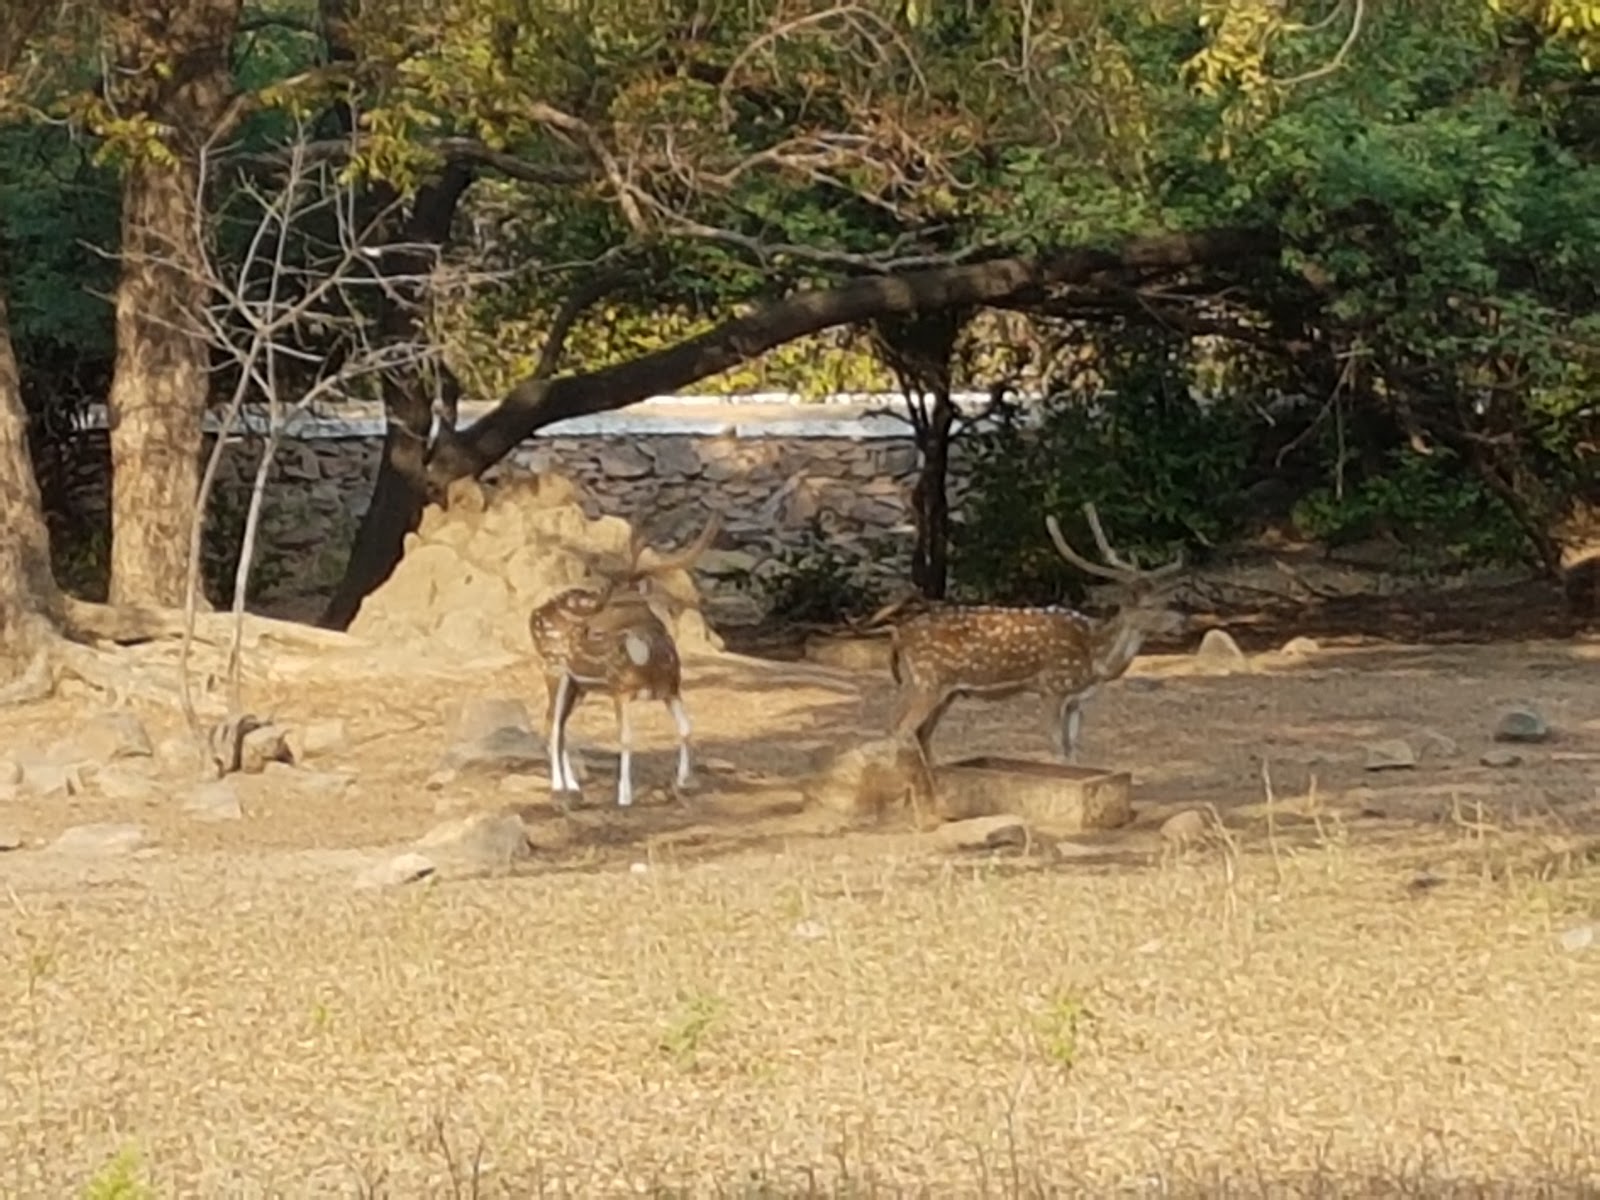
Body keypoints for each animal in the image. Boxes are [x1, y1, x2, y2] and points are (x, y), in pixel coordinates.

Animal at [528, 511, 722, 808]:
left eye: (616, 601)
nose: (583, 629)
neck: (650, 667)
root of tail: (533, 615)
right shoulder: (619, 688)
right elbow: (626, 739)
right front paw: (624, 796)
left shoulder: (672, 688)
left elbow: (686, 729)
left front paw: (684, 782)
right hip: (553, 667)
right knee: (552, 725)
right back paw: (560, 789)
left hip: (578, 686)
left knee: (558, 725)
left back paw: (573, 787)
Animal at [887, 502, 1186, 766]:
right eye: (1149, 606)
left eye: (1167, 600)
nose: (1183, 621)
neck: (1094, 657)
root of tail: (899, 635)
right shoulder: (1052, 688)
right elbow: (1058, 749)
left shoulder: (1076, 700)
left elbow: (1074, 751)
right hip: (926, 681)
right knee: (900, 730)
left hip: (942, 690)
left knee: (920, 733)